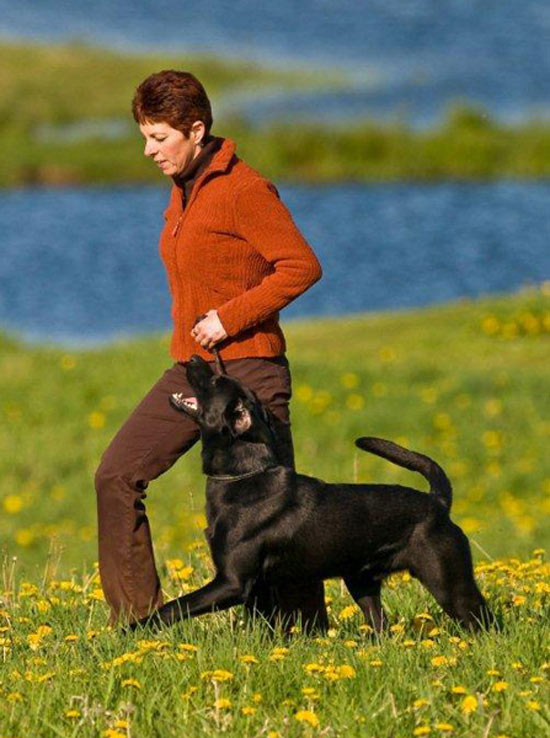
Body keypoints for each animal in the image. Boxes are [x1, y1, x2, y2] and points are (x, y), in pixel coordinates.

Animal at [130, 356, 496, 632]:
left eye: (217, 381)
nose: (193, 357)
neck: (242, 476)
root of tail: (438, 503)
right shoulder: (258, 587)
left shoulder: (232, 582)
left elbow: (174, 607)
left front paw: (131, 630)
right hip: (362, 581)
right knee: (381, 627)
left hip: (448, 582)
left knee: (483, 620)